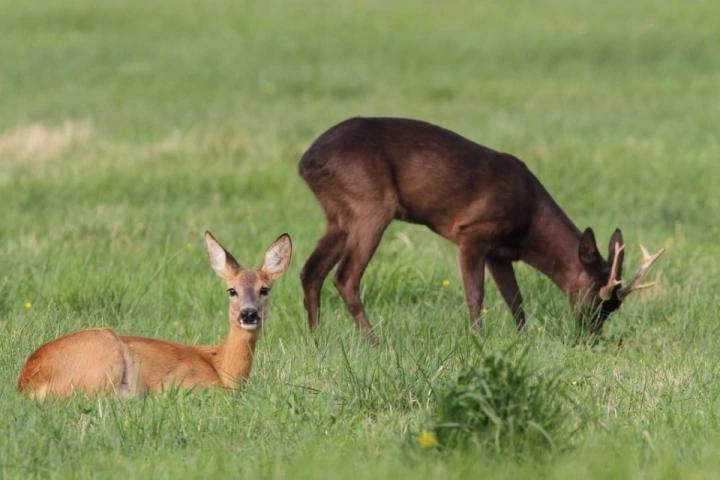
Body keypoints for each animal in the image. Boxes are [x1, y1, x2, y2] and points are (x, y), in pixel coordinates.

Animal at [18, 232, 292, 398]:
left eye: (264, 289)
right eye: (232, 290)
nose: (249, 314)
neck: (222, 368)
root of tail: (26, 384)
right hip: (105, 355)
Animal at [296, 116, 664, 336]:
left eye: (614, 307)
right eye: (594, 299)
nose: (589, 338)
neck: (529, 222)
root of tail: (304, 162)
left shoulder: (500, 252)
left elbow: (516, 300)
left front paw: (522, 341)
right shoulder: (472, 232)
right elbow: (475, 294)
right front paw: (478, 340)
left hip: (339, 216)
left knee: (310, 271)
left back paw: (316, 339)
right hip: (371, 204)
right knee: (345, 276)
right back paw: (374, 342)